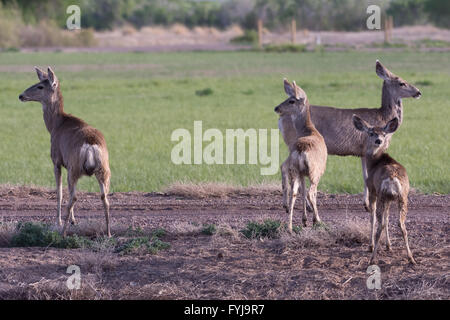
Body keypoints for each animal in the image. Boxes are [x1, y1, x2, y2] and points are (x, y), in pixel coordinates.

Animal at [18, 67, 111, 238]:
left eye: (40, 86)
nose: (21, 95)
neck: (56, 124)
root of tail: (91, 146)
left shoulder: (57, 160)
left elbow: (59, 192)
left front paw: (59, 221)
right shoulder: (67, 165)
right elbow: (67, 191)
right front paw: (74, 220)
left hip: (75, 167)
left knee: (74, 196)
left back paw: (63, 232)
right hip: (103, 169)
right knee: (104, 197)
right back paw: (108, 233)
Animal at [274, 79, 326, 231]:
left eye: (291, 100)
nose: (276, 108)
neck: (309, 130)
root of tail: (301, 151)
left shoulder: (303, 173)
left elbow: (301, 192)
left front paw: (304, 219)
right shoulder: (320, 171)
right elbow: (311, 193)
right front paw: (311, 219)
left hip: (297, 170)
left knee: (295, 192)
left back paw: (290, 226)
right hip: (314, 172)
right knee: (311, 193)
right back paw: (317, 220)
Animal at [278, 61, 422, 212]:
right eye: (401, 83)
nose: (418, 92)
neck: (383, 117)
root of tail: (280, 119)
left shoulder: (362, 152)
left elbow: (365, 175)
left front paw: (366, 203)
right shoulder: (367, 147)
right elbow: (366, 176)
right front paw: (367, 205)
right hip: (293, 142)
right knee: (287, 168)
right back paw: (300, 206)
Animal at [354, 115, 416, 264]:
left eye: (383, 134)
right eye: (371, 133)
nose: (379, 140)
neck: (374, 162)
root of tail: (392, 178)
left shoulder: (372, 190)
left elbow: (372, 218)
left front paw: (370, 246)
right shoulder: (389, 199)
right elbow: (388, 218)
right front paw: (389, 246)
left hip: (381, 195)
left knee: (379, 223)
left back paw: (372, 258)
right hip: (402, 197)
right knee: (401, 225)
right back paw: (411, 258)